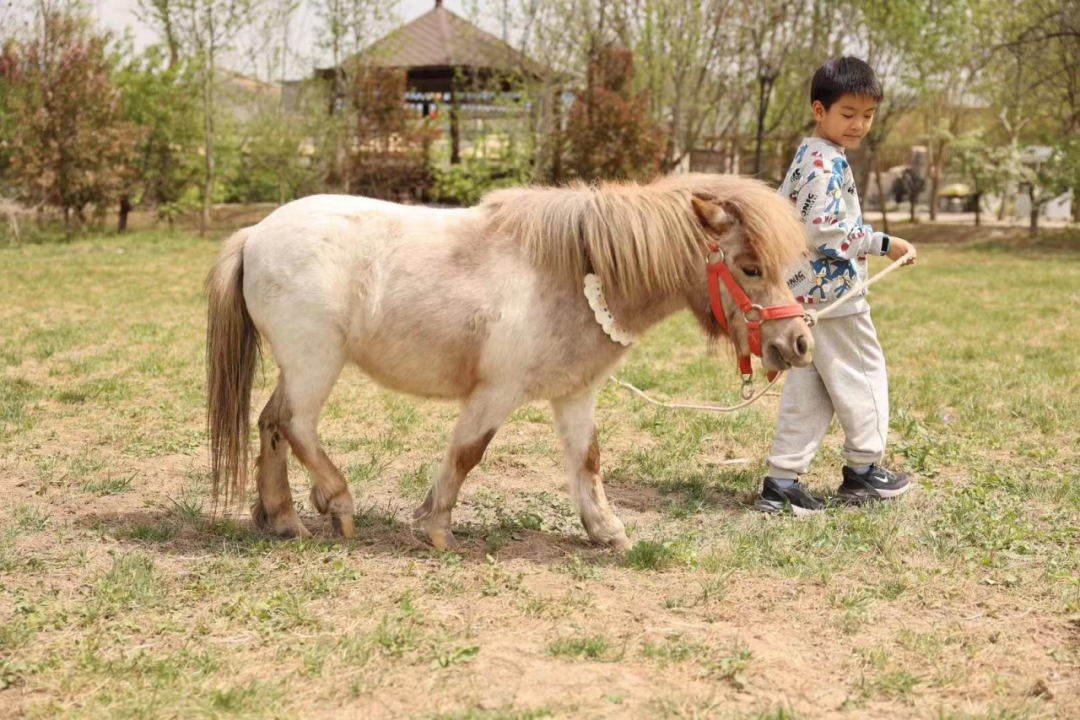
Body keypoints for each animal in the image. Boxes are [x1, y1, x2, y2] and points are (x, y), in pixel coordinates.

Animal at [206, 172, 812, 546]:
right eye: (751, 267)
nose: (799, 342)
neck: (578, 272)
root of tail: (255, 234)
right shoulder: (495, 393)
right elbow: (467, 453)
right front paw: (436, 526)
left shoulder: (575, 395)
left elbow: (587, 461)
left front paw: (606, 529)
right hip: (316, 363)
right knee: (295, 424)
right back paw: (337, 502)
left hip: (298, 368)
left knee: (271, 424)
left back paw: (283, 518)